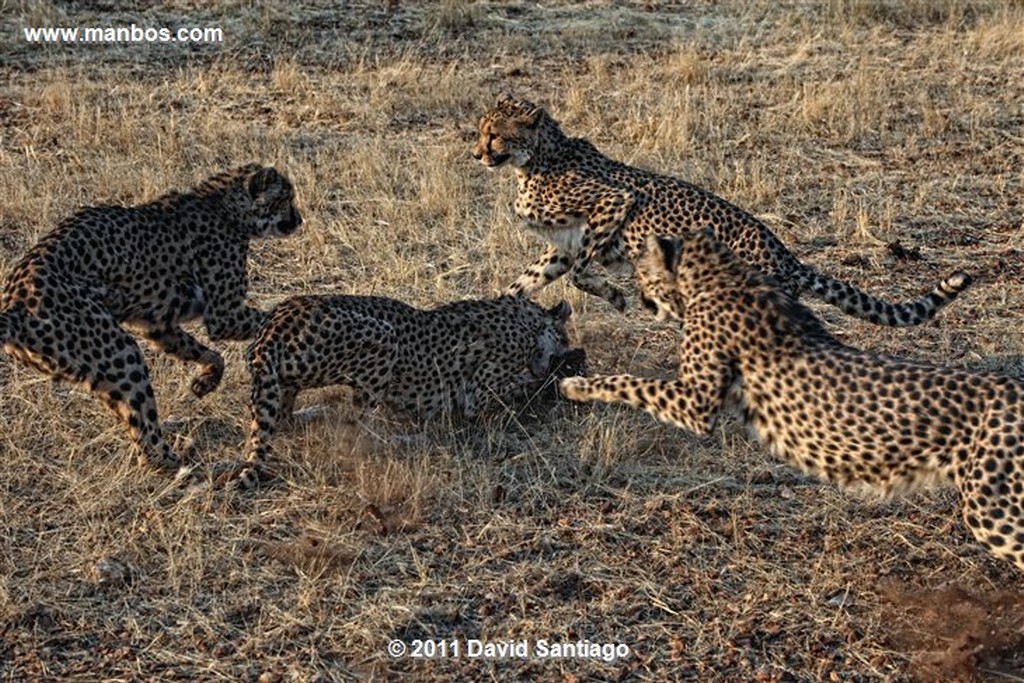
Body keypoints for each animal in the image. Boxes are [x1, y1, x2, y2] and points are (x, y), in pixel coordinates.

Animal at [0, 164, 301, 473]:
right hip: (121, 354)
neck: (226, 205)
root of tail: (13, 305)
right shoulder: (224, 315)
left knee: (136, 428)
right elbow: (267, 316)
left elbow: (205, 352)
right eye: (286, 198)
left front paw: (205, 381)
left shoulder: (154, 324)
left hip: (98, 367)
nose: (299, 220)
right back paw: (191, 464)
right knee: (148, 442)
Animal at [239, 294, 585, 485]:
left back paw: (316, 412)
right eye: (564, 337)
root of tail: (274, 324)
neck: (524, 319)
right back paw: (412, 440)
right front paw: (560, 376)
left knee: (284, 417)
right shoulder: (479, 391)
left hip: (285, 380)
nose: (567, 348)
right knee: (357, 434)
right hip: (382, 337)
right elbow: (527, 384)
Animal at [471, 94, 966, 327]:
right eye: (481, 131)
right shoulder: (563, 245)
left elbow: (581, 274)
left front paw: (615, 296)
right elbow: (522, 284)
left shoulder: (612, 203)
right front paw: (496, 310)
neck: (536, 158)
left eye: (494, 135)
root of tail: (785, 254)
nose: (476, 153)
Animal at [561, 232, 1024, 573]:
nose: (640, 297)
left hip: (993, 507)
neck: (724, 275)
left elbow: (630, 382)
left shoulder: (695, 403)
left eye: (642, 270)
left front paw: (576, 386)